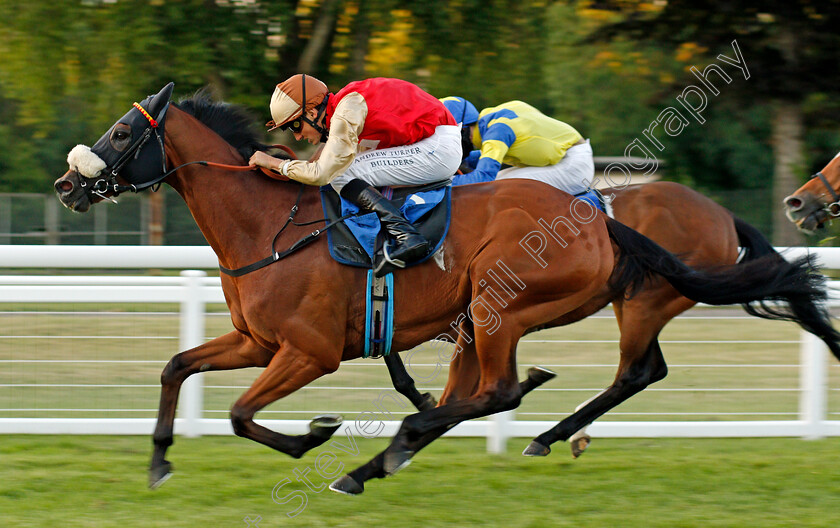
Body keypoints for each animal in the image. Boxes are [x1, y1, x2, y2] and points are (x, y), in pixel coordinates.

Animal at [384, 178, 840, 458]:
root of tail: (725, 216)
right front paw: (424, 401)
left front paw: (421, 401)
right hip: (641, 302)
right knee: (650, 369)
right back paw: (566, 433)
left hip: (645, 300)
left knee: (635, 373)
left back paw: (550, 436)